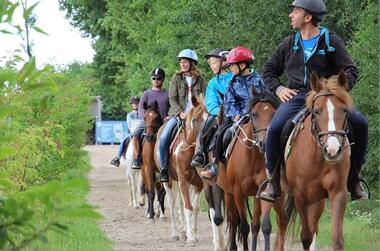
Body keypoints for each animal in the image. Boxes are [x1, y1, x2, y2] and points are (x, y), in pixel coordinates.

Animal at [153, 94, 206, 243]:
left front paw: (192, 232)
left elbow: (195, 208)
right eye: (195, 119)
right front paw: (191, 238)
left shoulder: (198, 184)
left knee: (180, 203)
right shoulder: (183, 179)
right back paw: (175, 233)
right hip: (169, 181)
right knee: (172, 203)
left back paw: (183, 230)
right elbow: (188, 207)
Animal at [217, 90, 288, 251]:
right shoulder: (238, 193)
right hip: (228, 193)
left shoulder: (264, 191)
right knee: (234, 220)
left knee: (267, 222)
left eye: (274, 114)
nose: (264, 143)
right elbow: (243, 226)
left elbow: (264, 226)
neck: (253, 156)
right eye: (254, 114)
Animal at [284, 71, 354, 251]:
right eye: (316, 111)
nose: (332, 149)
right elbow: (306, 237)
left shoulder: (338, 193)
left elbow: (336, 240)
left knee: (314, 227)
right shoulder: (300, 196)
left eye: (344, 110)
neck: (318, 160)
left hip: (317, 201)